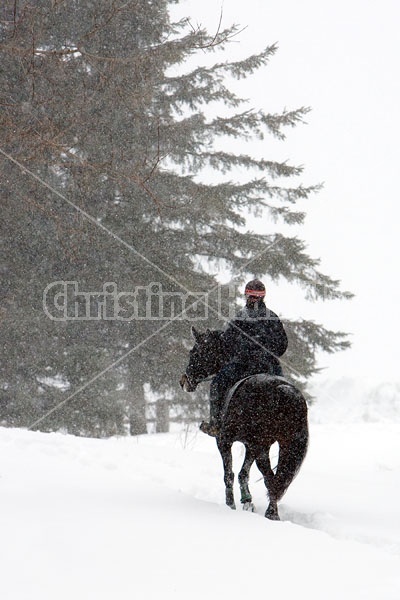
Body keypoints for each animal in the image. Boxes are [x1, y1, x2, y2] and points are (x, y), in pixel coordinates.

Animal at [181, 326, 310, 516]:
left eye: (194, 352)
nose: (183, 381)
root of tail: (285, 391)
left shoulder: (225, 441)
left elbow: (230, 474)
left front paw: (231, 504)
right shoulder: (250, 445)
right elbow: (244, 473)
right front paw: (247, 501)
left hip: (261, 445)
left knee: (269, 478)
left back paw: (270, 513)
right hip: (279, 445)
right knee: (273, 480)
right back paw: (272, 513)